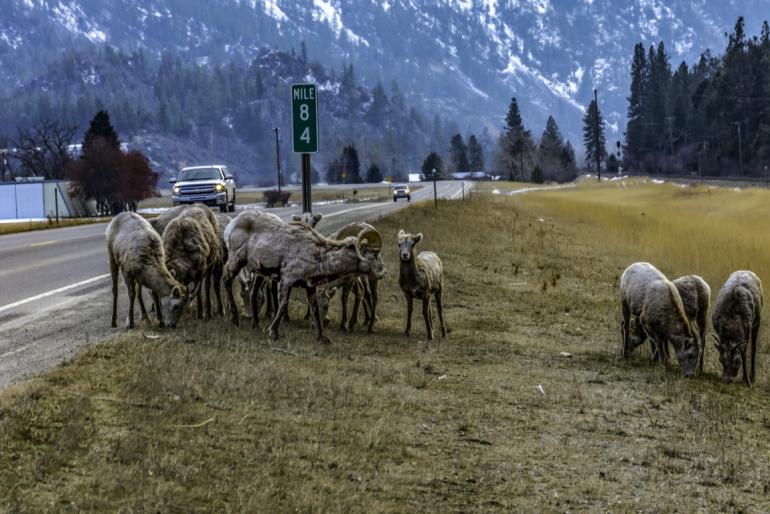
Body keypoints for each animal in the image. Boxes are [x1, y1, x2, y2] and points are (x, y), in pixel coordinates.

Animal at [222, 214, 384, 342]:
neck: (317, 255)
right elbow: (283, 306)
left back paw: (256, 325)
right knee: (226, 280)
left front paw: (322, 337)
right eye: (375, 254)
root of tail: (233, 223)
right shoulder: (287, 280)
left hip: (258, 272)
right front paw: (273, 332)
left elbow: (315, 310)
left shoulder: (310, 287)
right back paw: (234, 319)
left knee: (253, 293)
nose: (383, 272)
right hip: (236, 260)